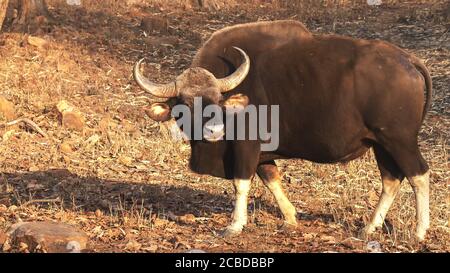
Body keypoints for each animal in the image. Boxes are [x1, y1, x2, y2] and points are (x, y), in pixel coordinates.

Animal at [134, 20, 432, 239]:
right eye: (184, 103)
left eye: (218, 99)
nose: (215, 131)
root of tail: (407, 60)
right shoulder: (264, 154)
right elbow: (272, 178)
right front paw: (290, 217)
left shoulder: (246, 146)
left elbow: (241, 183)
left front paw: (234, 225)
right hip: (381, 143)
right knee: (391, 180)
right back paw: (370, 227)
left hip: (400, 141)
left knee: (419, 175)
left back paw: (419, 231)